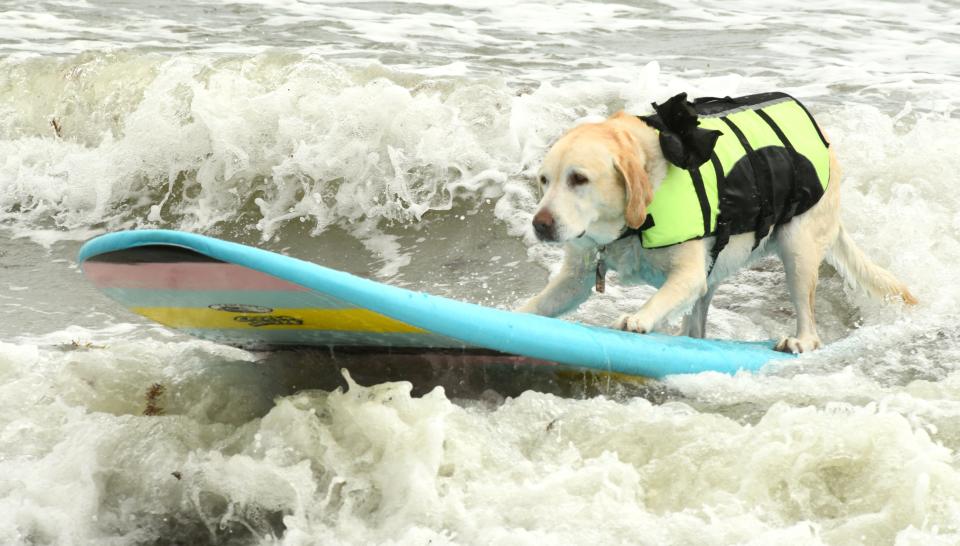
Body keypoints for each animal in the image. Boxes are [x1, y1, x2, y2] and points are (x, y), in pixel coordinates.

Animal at [516, 93, 916, 352]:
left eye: (579, 179)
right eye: (544, 180)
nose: (541, 224)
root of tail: (827, 141)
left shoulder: (688, 274)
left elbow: (662, 297)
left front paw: (639, 319)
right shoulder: (575, 277)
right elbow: (542, 303)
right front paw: (514, 314)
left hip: (798, 249)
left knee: (809, 319)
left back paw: (800, 340)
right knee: (696, 326)